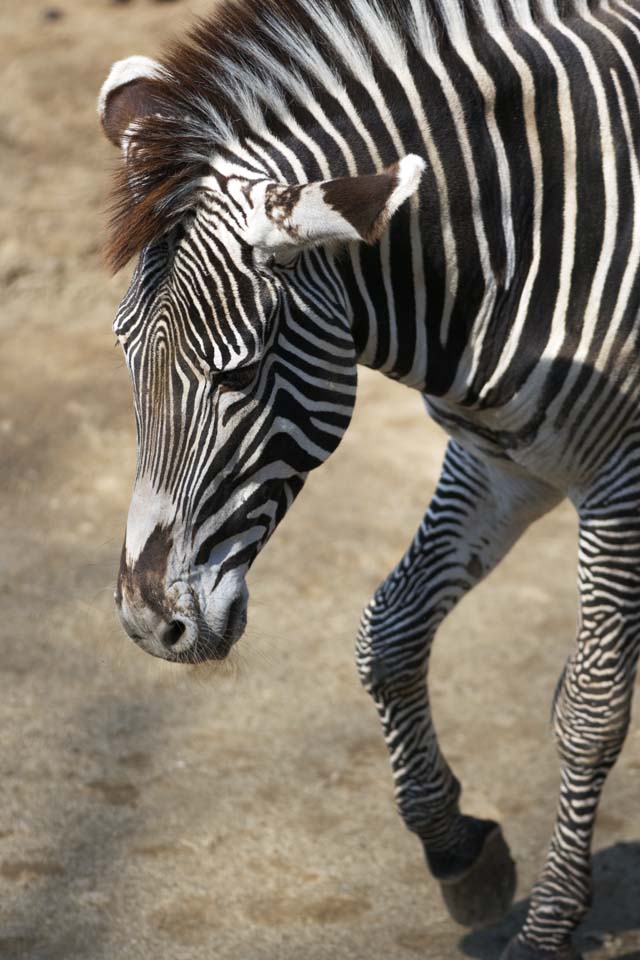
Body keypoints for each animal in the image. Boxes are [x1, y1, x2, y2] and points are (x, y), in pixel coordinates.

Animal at [96, 3, 640, 956]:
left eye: (240, 374)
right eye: (125, 355)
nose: (147, 623)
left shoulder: (621, 479)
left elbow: (591, 708)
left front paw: (549, 926)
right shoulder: (501, 462)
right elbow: (386, 637)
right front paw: (459, 849)